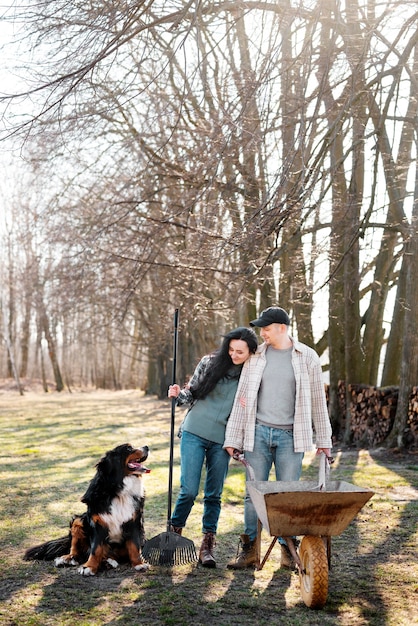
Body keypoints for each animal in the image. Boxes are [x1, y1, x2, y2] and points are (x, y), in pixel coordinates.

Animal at [23, 442, 150, 572]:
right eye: (129, 448)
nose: (146, 447)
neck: (118, 490)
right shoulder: (97, 523)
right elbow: (95, 549)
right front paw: (89, 566)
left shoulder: (134, 521)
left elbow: (134, 546)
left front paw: (139, 563)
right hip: (78, 521)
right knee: (76, 550)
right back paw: (67, 559)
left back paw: (108, 562)